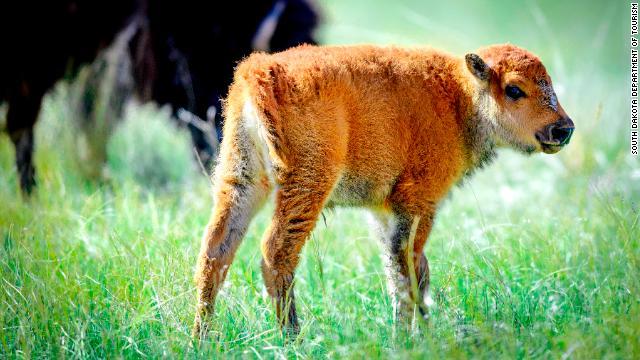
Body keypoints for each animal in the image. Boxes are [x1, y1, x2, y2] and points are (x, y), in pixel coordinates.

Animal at [191, 43, 576, 336]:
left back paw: (203, 338)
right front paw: (414, 336)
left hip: (241, 178)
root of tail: (258, 69)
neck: (458, 98)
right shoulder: (419, 205)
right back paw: (293, 338)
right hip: (308, 183)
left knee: (216, 249)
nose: (563, 129)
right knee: (277, 251)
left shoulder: (383, 212)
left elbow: (398, 270)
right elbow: (410, 271)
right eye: (514, 89)